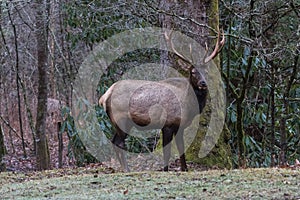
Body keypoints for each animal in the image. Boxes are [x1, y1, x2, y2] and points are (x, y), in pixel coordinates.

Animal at [99, 30, 224, 171]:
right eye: (193, 72)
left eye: (206, 71)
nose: (203, 83)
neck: (187, 107)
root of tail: (104, 97)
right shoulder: (167, 124)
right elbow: (167, 151)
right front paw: (166, 170)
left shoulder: (180, 126)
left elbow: (181, 148)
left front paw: (185, 169)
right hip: (121, 118)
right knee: (119, 143)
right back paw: (126, 169)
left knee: (114, 142)